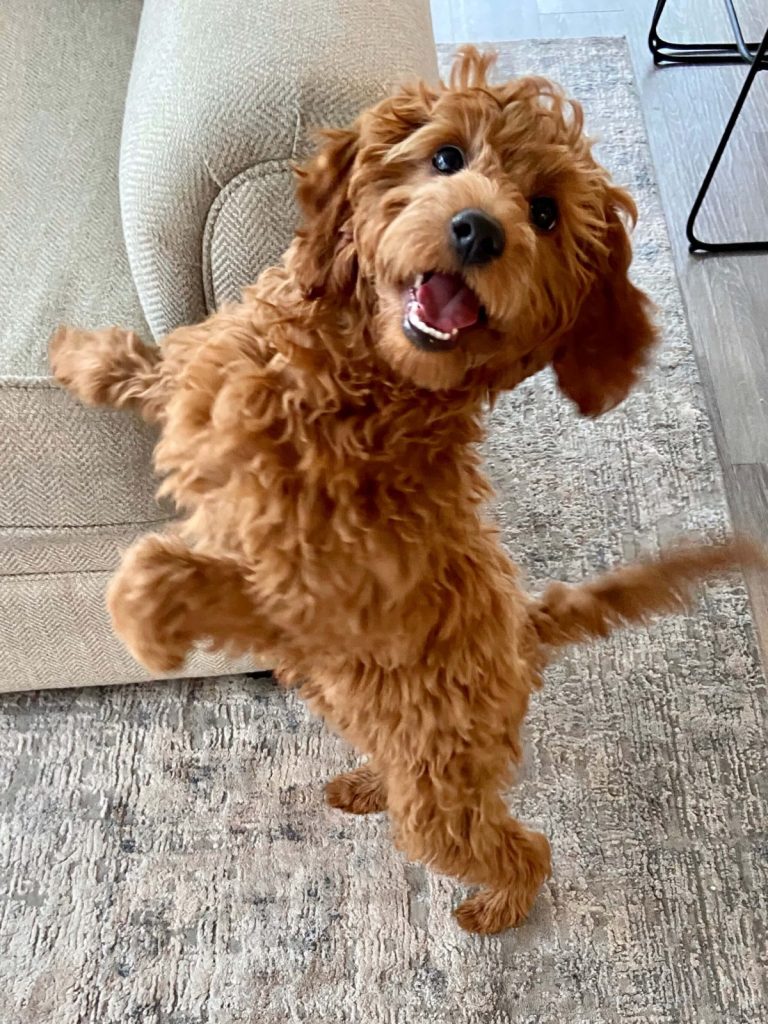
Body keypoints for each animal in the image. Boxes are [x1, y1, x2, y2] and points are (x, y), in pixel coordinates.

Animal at [51, 49, 761, 937]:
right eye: (447, 157)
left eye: (546, 214)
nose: (479, 229)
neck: (355, 389)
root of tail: (522, 629)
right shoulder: (213, 386)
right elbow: (162, 368)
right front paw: (81, 356)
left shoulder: (313, 595)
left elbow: (173, 570)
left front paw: (144, 620)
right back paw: (363, 785)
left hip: (441, 783)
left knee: (519, 846)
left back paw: (495, 908)